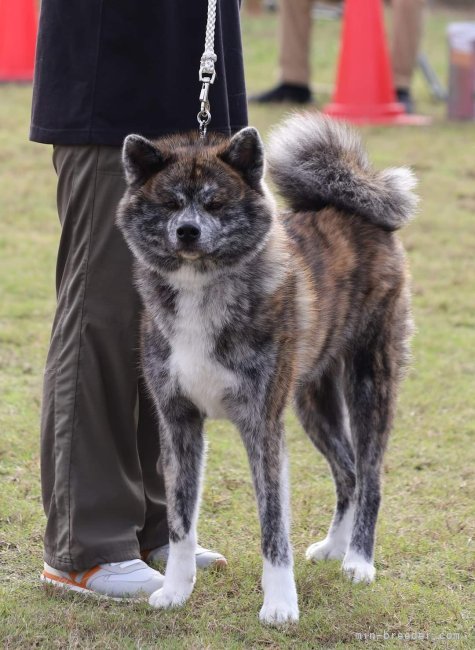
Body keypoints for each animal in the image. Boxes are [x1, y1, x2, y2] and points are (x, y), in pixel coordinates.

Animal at [118, 112, 416, 624]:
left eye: (215, 203)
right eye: (170, 203)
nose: (187, 231)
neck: (202, 288)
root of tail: (357, 207)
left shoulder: (262, 426)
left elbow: (273, 526)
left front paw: (279, 604)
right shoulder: (179, 423)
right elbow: (180, 521)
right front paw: (176, 590)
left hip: (369, 382)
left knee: (371, 477)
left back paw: (359, 561)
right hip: (311, 400)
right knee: (349, 474)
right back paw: (334, 547)